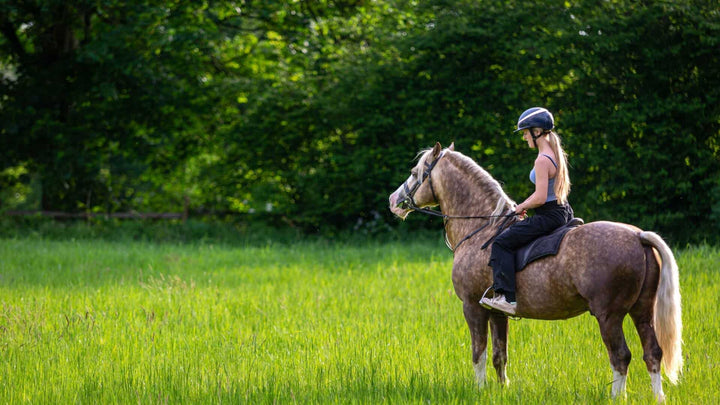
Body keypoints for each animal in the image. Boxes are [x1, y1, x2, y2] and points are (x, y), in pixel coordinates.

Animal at [388, 142, 682, 402]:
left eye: (414, 172)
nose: (393, 201)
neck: (481, 229)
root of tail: (638, 236)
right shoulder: (497, 312)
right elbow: (499, 355)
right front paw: (502, 390)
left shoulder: (472, 307)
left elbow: (478, 352)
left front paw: (479, 391)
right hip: (641, 311)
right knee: (652, 352)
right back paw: (658, 398)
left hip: (609, 316)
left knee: (620, 356)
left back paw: (617, 397)